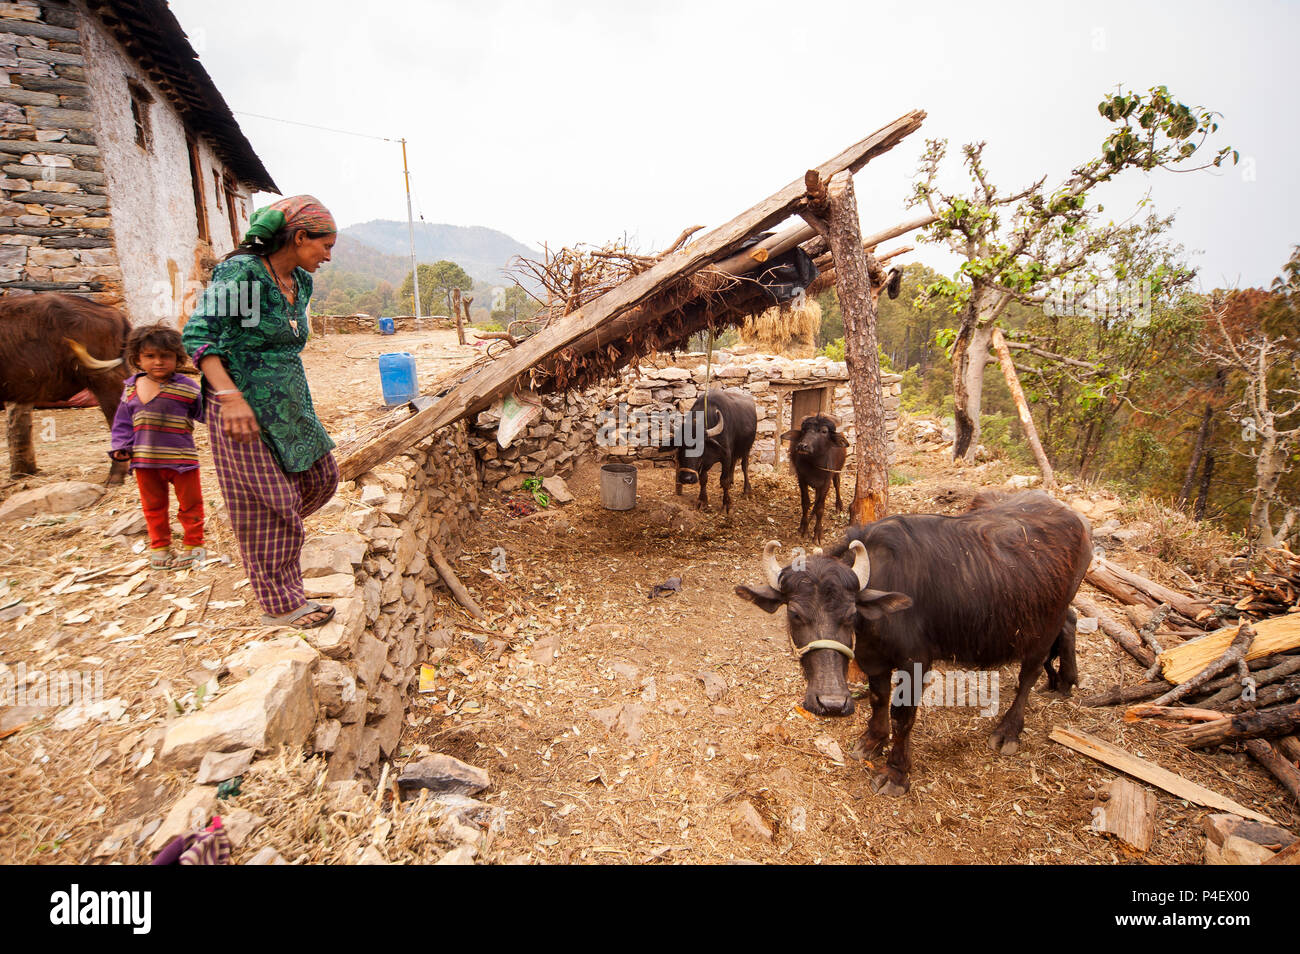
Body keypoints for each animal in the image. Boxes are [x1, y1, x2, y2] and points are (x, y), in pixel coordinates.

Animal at [738, 493, 1092, 800]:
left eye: (850, 615)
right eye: (795, 614)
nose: (832, 704)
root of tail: (1078, 523)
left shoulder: (916, 663)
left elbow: (902, 715)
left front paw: (896, 772)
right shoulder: (873, 658)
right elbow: (879, 699)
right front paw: (872, 740)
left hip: (1043, 628)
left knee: (1028, 674)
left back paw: (1009, 730)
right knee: (1071, 621)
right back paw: (1066, 680)